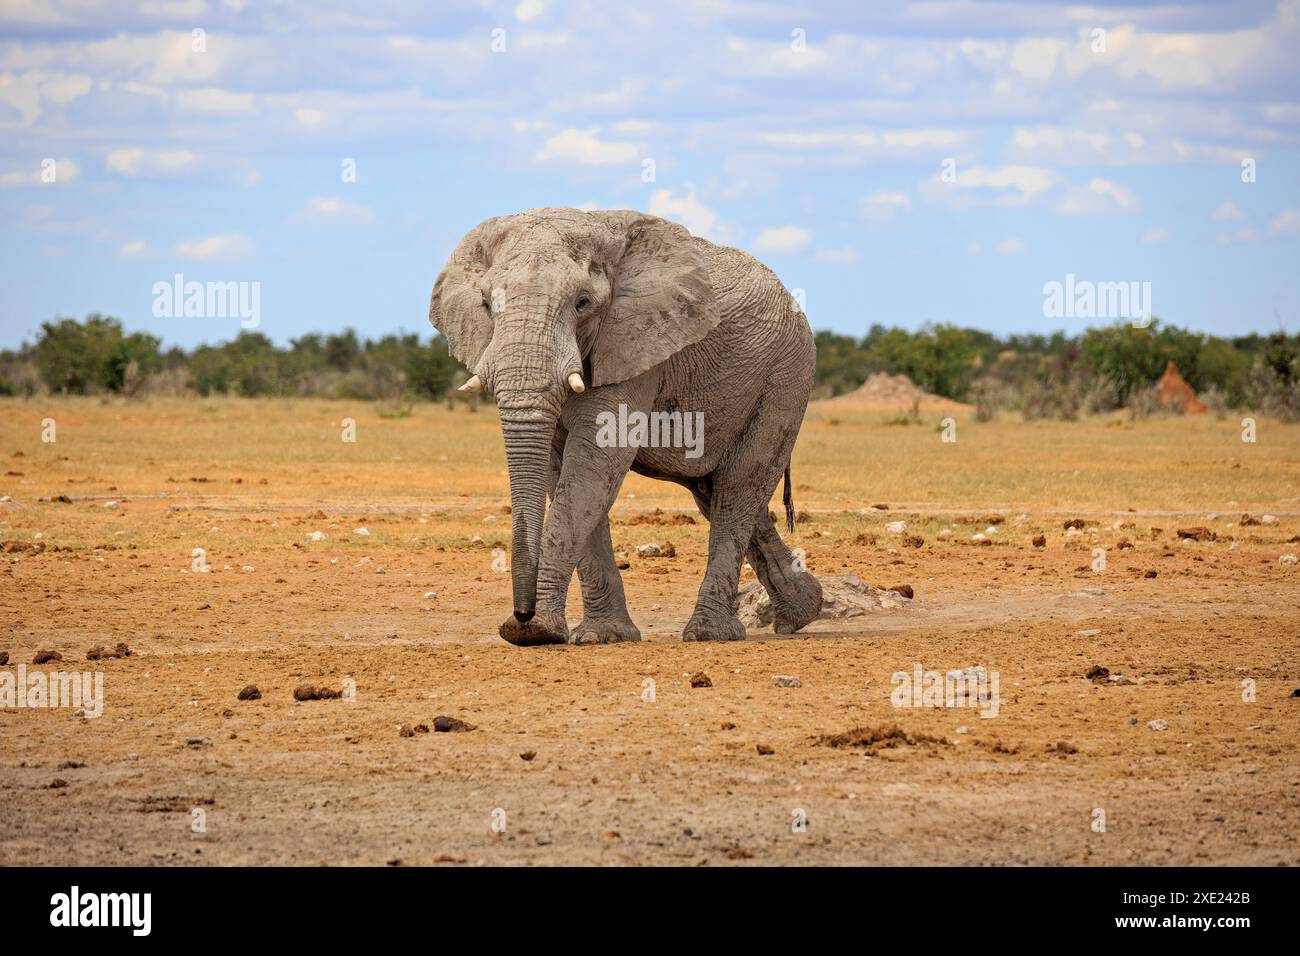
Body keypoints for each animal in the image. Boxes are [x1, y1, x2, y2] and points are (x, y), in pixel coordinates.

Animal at [428, 207, 822, 645]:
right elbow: (563, 474)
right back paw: (803, 612)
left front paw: (542, 632)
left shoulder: (636, 343)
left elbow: (592, 467)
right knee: (715, 493)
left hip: (785, 378)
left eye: (583, 303)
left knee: (738, 489)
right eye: (485, 303)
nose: (521, 616)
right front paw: (599, 636)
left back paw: (710, 633)